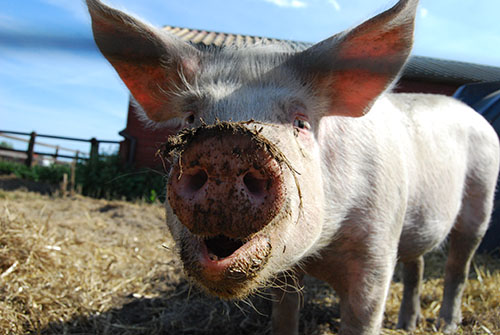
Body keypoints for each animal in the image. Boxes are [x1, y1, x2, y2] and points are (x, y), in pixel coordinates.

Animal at [88, 1, 498, 334]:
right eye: (191, 118)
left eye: (301, 122)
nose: (225, 144)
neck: (320, 252)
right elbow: (284, 317)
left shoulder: (378, 246)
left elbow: (363, 317)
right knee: (417, 265)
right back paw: (406, 325)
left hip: (481, 198)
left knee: (457, 267)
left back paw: (445, 326)